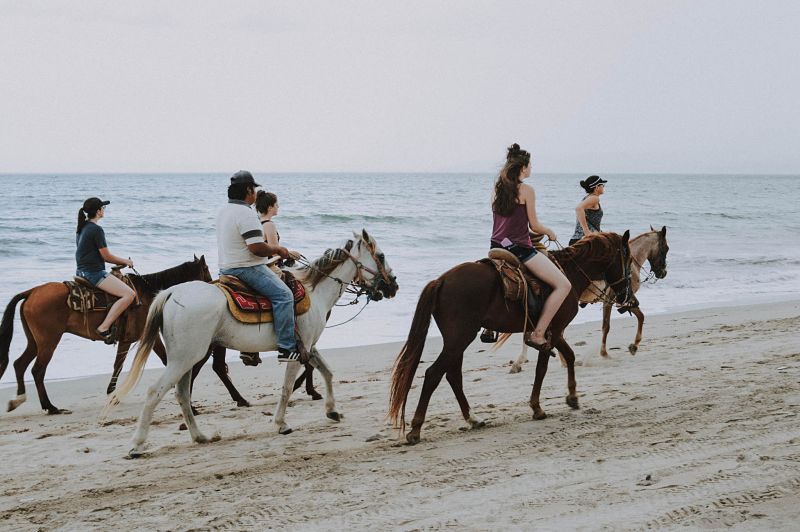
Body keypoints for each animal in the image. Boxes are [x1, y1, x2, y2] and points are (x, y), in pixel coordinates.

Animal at [0, 258, 250, 416]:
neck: (149, 293)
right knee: (37, 370)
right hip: (48, 341)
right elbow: (157, 362)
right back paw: (49, 406)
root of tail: (31, 292)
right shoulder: (142, 338)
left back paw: (18, 399)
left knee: (20, 364)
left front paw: (112, 394)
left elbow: (120, 365)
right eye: (206, 272)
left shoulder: (134, 339)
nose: (216, 287)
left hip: (35, 341)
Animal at [103, 229, 396, 458]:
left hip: (186, 358)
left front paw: (332, 411)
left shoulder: (308, 347)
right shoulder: (296, 350)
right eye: (380, 256)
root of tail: (172, 292)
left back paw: (199, 436)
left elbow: (327, 371)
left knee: (182, 394)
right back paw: (137, 445)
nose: (393, 285)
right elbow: (287, 388)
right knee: (156, 392)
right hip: (186, 357)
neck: (314, 292)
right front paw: (280, 423)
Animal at [386, 231, 632, 442]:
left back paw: (473, 419)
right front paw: (538, 407)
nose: (626, 296)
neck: (569, 273)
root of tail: (442, 280)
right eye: (628, 260)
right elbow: (544, 367)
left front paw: (571, 397)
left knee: (452, 375)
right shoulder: (553, 330)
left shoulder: (552, 331)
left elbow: (569, 356)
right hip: (459, 339)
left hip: (456, 341)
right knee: (433, 374)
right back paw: (416, 429)